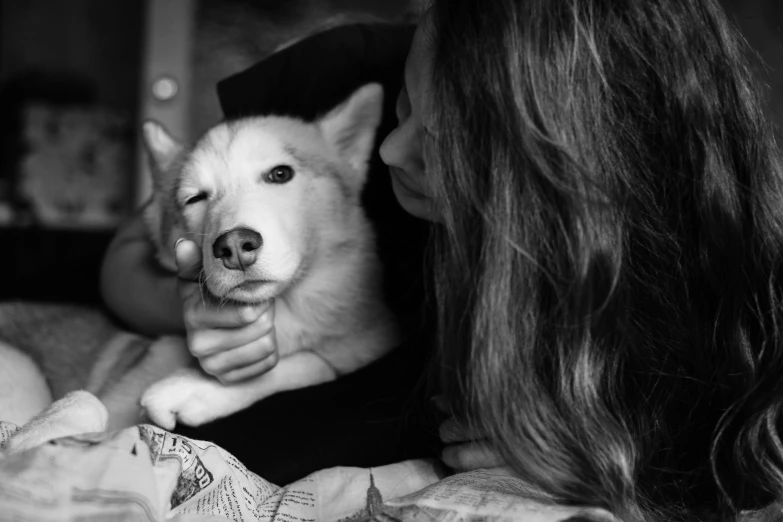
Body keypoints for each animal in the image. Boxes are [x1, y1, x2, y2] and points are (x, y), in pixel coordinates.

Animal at [0, 81, 402, 430]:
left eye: (280, 174)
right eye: (195, 198)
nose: (235, 247)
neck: (283, 315)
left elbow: (320, 364)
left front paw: (193, 388)